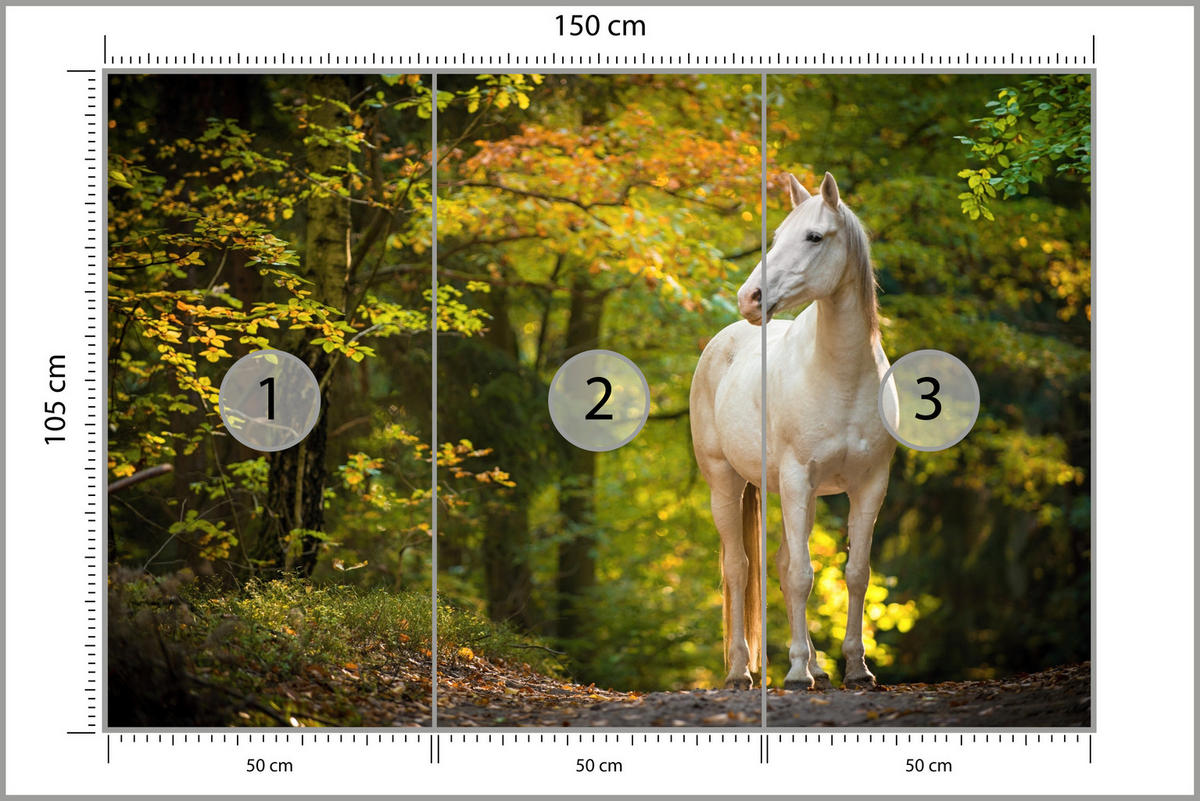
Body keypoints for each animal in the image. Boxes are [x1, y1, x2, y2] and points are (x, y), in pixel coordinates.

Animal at [690, 171, 899, 690]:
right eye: (776, 237)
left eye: (814, 237)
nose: (750, 298)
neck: (841, 378)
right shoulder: (797, 477)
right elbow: (803, 575)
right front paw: (797, 673)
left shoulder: (870, 485)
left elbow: (855, 573)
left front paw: (856, 667)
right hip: (726, 483)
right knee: (739, 568)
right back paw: (741, 671)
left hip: (792, 493)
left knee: (782, 564)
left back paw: (817, 667)